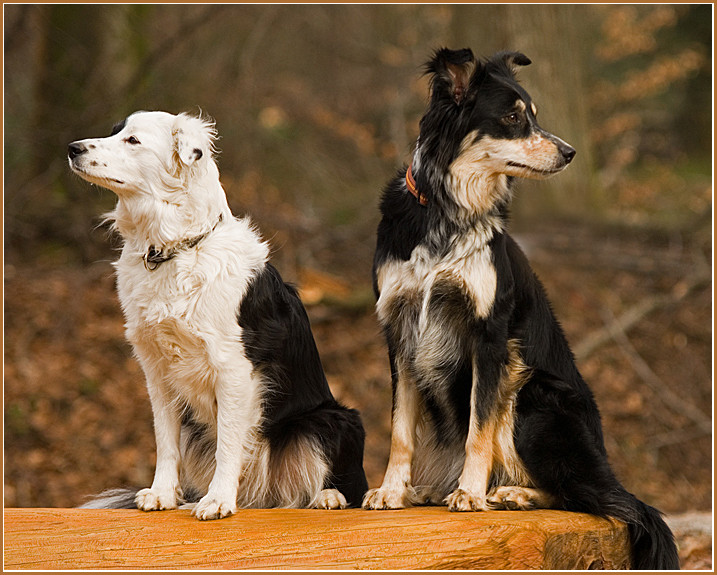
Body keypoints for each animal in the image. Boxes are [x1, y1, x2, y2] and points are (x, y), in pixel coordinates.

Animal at [68, 110, 366, 520]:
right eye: (114, 132)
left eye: (133, 140)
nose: (72, 148)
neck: (173, 249)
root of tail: (264, 496)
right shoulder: (156, 371)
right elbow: (165, 439)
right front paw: (163, 493)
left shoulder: (233, 368)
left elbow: (229, 441)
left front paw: (219, 499)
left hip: (331, 420)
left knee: (342, 485)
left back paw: (328, 497)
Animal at [364, 49, 676, 572]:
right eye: (512, 118)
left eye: (533, 114)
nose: (569, 152)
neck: (449, 210)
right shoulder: (401, 335)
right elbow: (400, 428)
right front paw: (391, 489)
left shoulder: (490, 337)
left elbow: (479, 426)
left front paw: (470, 493)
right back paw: (433, 489)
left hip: (532, 397)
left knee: (593, 498)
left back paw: (510, 493)